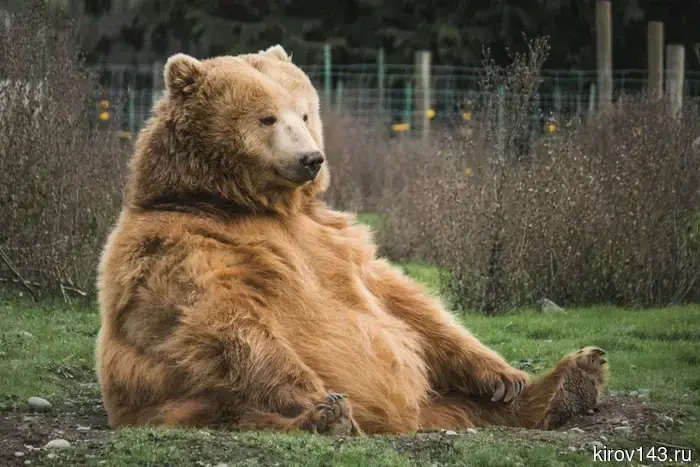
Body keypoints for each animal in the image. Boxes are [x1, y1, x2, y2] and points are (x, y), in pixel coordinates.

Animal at [95, 45, 608, 435]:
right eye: (266, 118)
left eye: (304, 112)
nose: (311, 158)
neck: (247, 203)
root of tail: (405, 420)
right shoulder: (182, 245)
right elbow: (223, 319)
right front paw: (318, 397)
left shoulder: (331, 238)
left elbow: (403, 300)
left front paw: (503, 375)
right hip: (178, 400)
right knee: (235, 407)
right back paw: (327, 417)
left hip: (437, 397)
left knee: (468, 403)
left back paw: (571, 380)